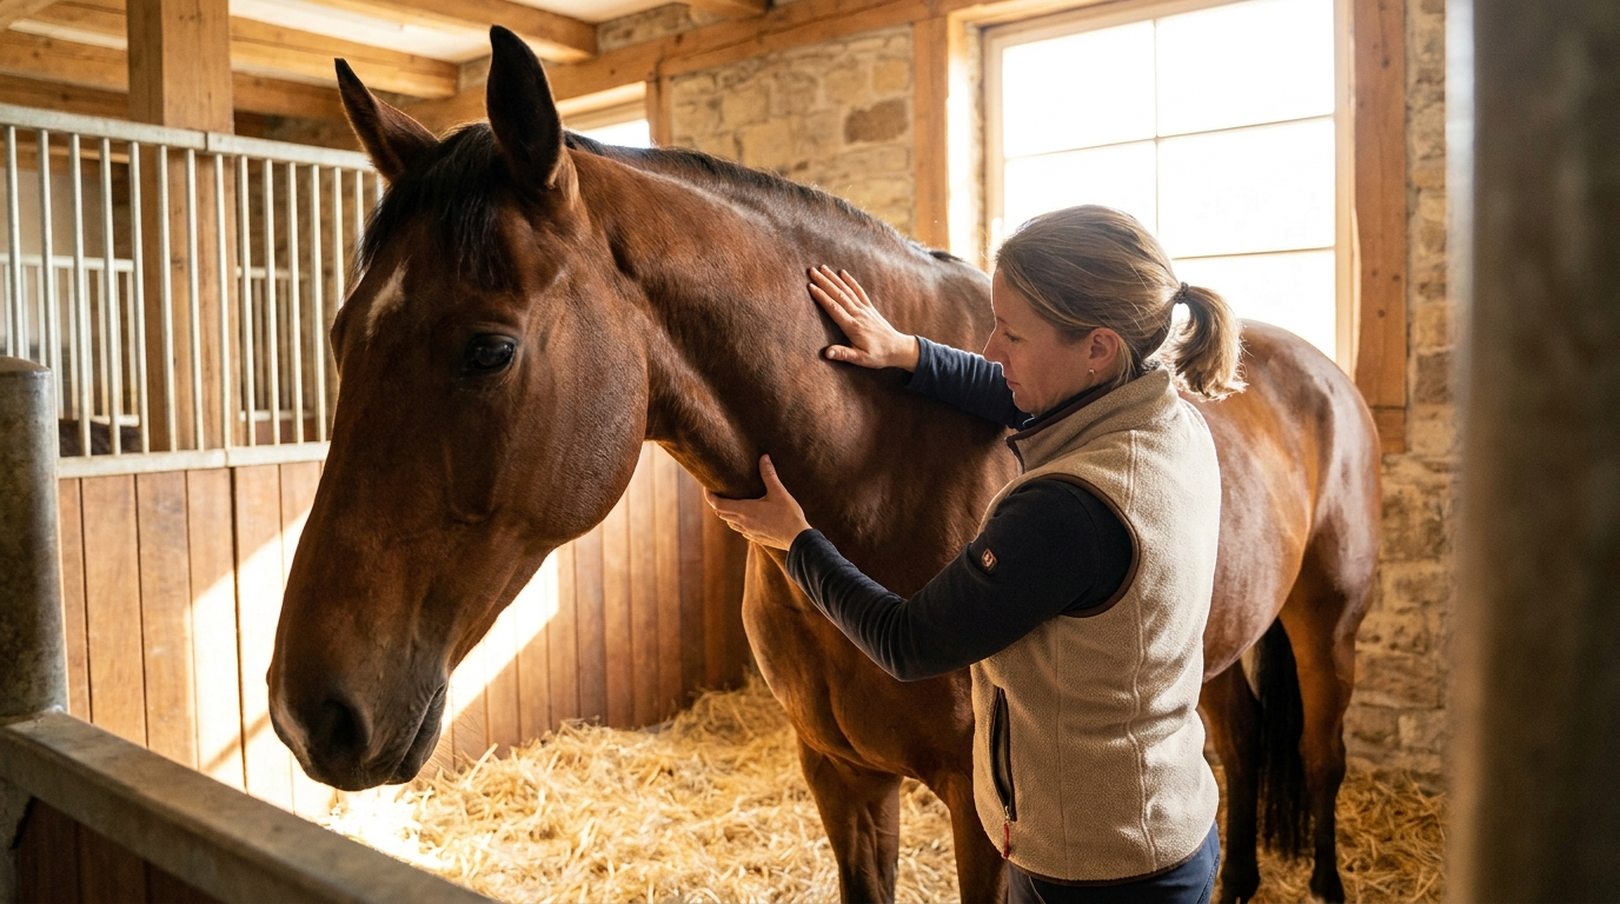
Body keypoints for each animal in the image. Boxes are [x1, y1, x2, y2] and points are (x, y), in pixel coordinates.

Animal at [268, 27, 1379, 904]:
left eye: (489, 350)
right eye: (338, 334)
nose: (306, 714)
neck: (882, 468)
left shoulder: (982, 813)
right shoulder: (840, 777)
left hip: (1328, 621)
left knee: (1320, 755)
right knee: (1242, 747)